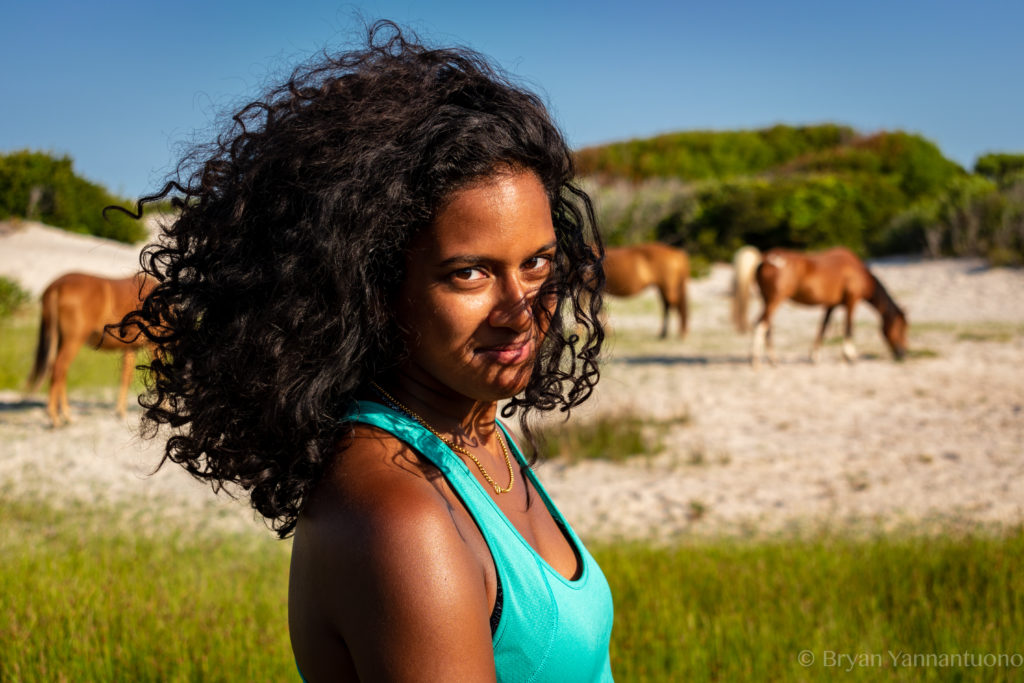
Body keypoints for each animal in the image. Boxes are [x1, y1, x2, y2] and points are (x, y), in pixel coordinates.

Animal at [25, 272, 155, 428]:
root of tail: (56, 286)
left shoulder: (130, 349)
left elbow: (126, 377)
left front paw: (121, 411)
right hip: (73, 340)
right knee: (59, 368)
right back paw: (57, 417)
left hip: (61, 340)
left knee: (60, 371)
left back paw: (64, 415)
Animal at [737, 248, 913, 368]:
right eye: (901, 327)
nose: (904, 353)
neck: (859, 273)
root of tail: (765, 259)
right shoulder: (851, 301)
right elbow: (849, 327)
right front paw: (850, 356)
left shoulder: (831, 305)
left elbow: (823, 327)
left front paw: (814, 356)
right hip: (775, 300)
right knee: (761, 324)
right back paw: (755, 360)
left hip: (767, 300)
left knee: (767, 325)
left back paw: (773, 359)